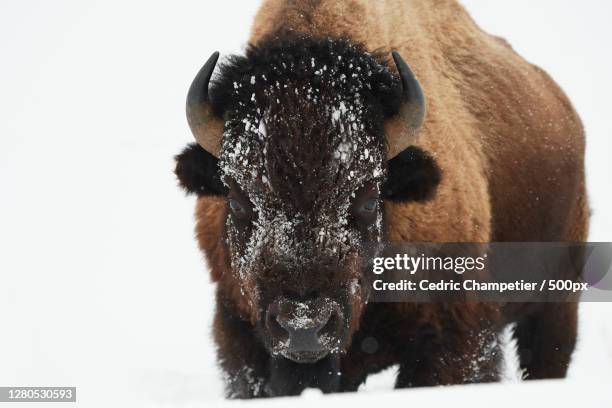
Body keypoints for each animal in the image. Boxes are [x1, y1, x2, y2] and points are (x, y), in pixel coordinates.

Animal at [172, 0, 588, 398]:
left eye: (369, 197)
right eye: (237, 199)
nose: (303, 325)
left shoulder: (454, 334)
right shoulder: (240, 334)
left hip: (558, 302)